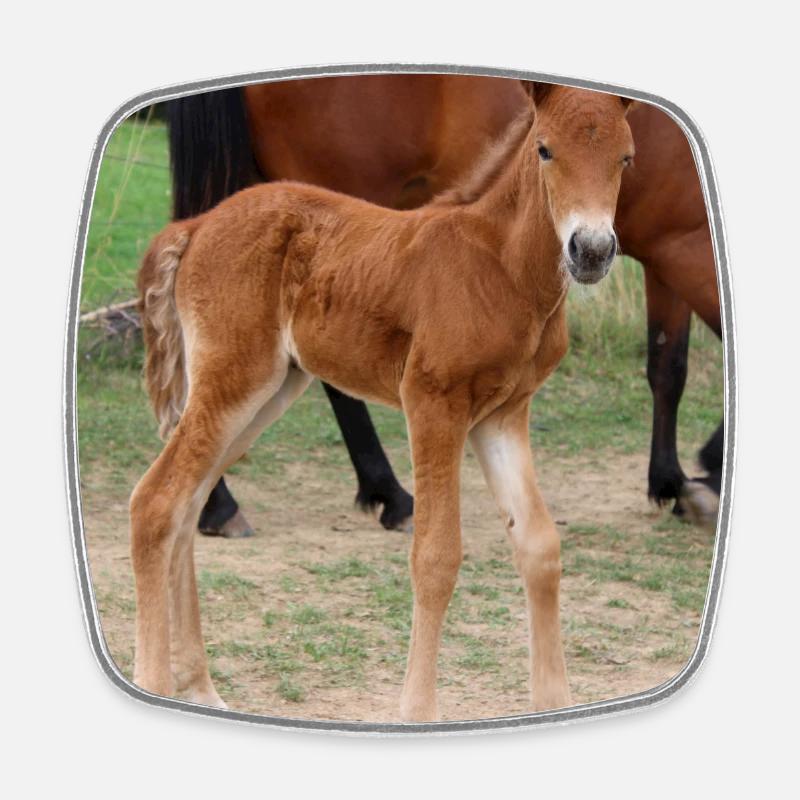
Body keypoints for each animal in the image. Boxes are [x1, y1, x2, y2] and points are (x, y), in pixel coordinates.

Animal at [132, 84, 635, 719]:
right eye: (545, 149)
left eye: (627, 159)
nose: (590, 251)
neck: (499, 267)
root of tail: (195, 226)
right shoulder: (433, 403)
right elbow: (436, 556)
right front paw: (418, 713)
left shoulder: (502, 415)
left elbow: (539, 546)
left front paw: (554, 700)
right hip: (234, 381)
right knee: (156, 501)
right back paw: (155, 682)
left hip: (268, 391)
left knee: (187, 505)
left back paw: (200, 687)